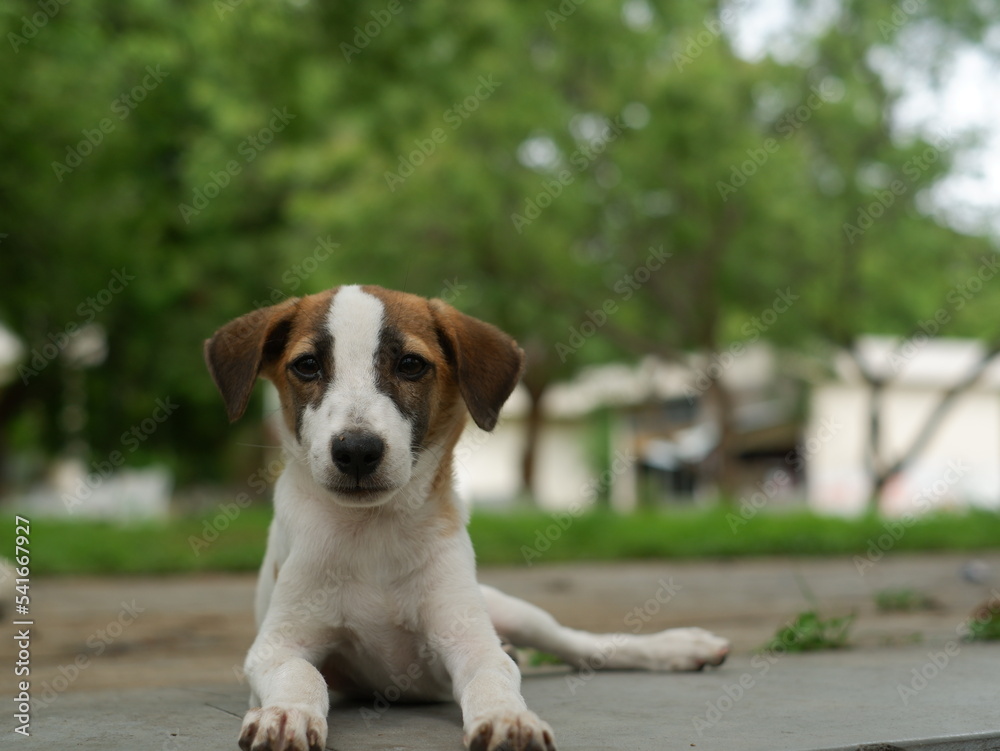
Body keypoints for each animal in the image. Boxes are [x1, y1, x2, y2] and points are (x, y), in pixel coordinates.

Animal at [203, 284, 732, 748]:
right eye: (307, 365)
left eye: (411, 364)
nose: (355, 451)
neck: (373, 531)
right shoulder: (276, 645)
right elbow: (302, 673)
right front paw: (285, 713)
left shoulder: (471, 639)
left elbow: (492, 676)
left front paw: (507, 718)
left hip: (510, 610)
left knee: (580, 643)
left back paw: (680, 647)